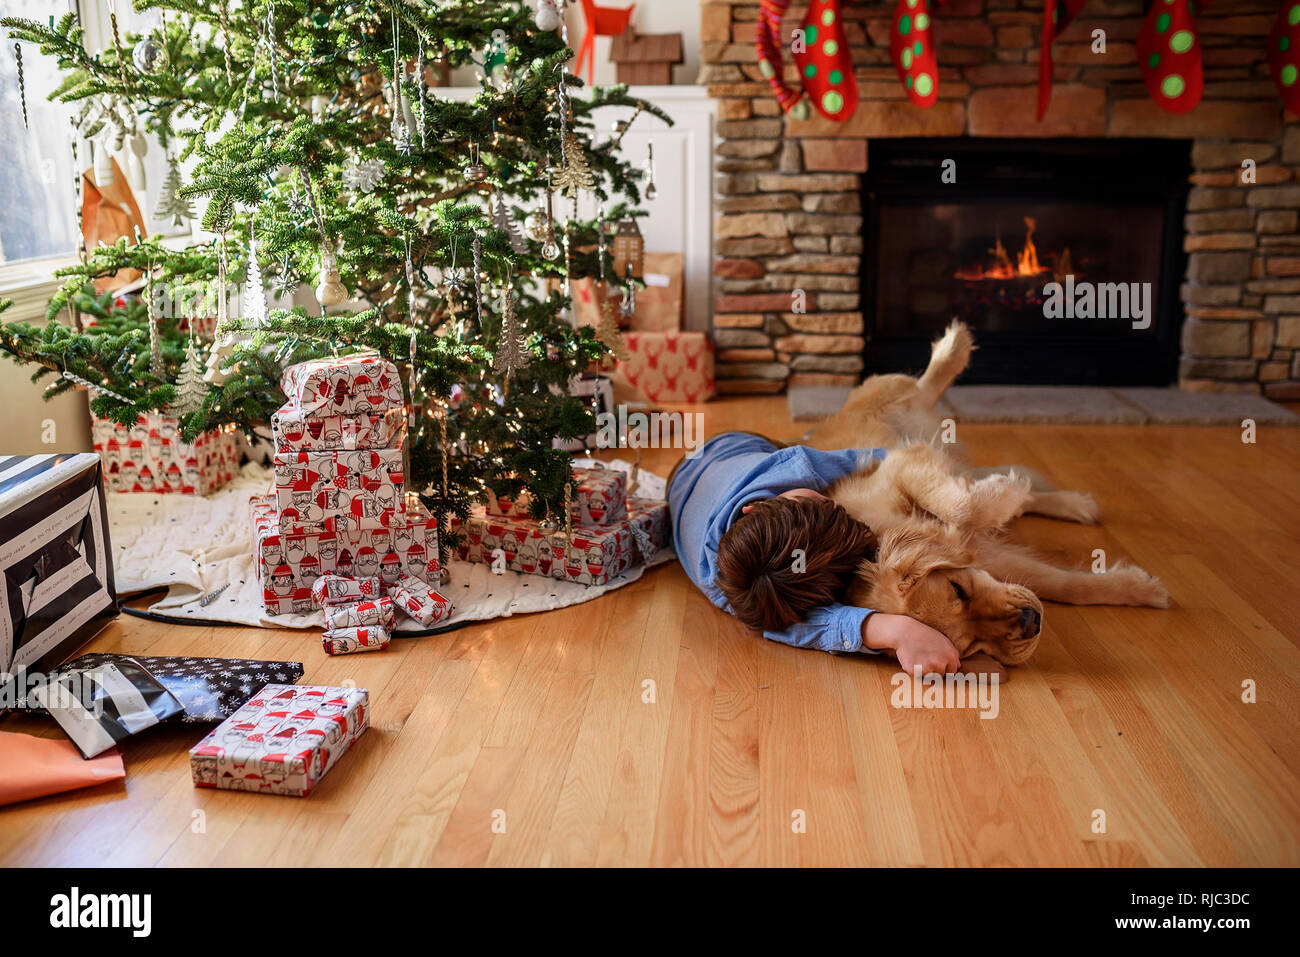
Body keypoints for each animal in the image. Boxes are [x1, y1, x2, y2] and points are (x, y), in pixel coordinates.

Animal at [806, 321, 1175, 665]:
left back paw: (953, 349)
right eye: (971, 646)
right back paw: (1070, 503)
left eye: (958, 589)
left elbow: (961, 506)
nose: (1031, 622)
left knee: (923, 387)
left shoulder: (902, 464)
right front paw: (1140, 588)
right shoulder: (989, 556)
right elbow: (1063, 584)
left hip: (892, 402)